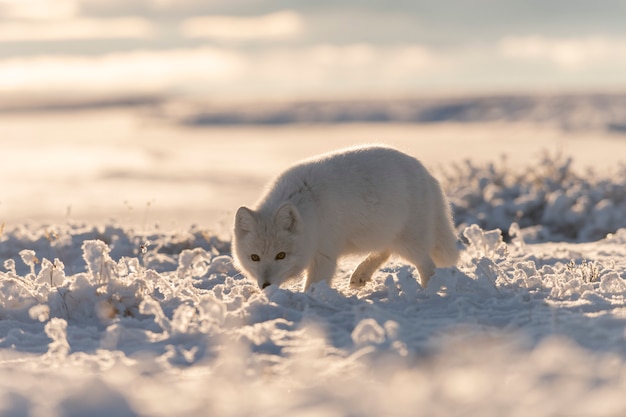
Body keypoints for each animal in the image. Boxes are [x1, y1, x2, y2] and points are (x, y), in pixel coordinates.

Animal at [232, 145, 456, 290]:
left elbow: (313, 284)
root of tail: (425, 172)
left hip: (410, 241)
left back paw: (427, 292)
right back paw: (360, 275)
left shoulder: (324, 254)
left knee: (428, 266)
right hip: (385, 233)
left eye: (281, 255)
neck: (309, 209)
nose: (265, 286)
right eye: (254, 257)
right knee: (386, 251)